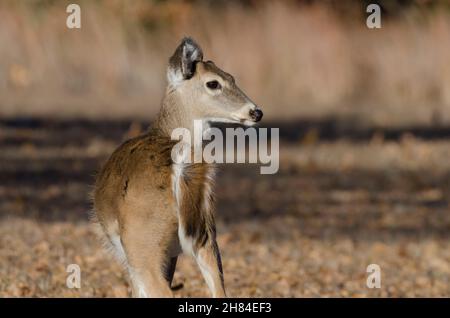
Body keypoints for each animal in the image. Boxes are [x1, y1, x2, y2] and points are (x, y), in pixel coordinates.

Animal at [93, 38, 264, 298]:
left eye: (231, 78)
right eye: (215, 82)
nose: (256, 112)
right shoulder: (175, 250)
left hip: (140, 241)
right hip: (206, 234)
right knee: (219, 289)